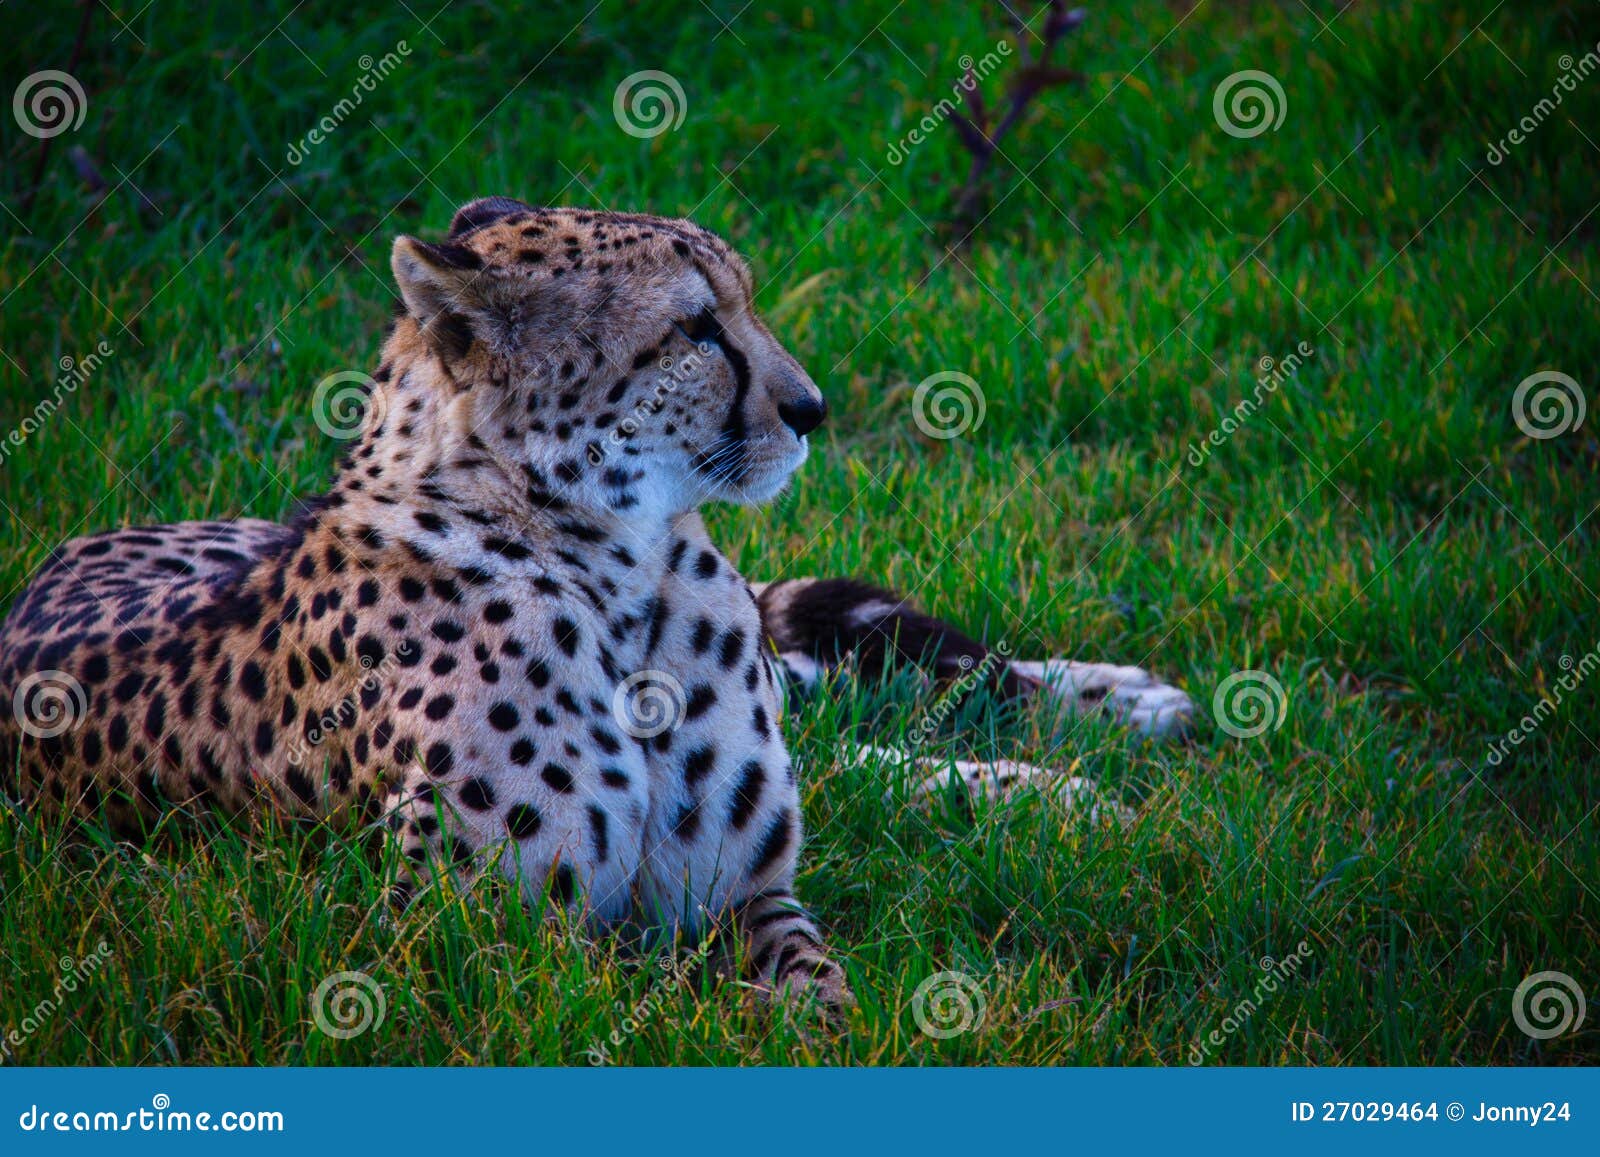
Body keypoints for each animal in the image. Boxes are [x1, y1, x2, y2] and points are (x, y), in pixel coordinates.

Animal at [0, 196, 1192, 1015]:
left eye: (743, 305)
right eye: (696, 328)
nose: (813, 407)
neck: (620, 564)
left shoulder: (747, 891)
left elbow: (817, 976)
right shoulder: (478, 953)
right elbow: (653, 1007)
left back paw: (1114, 723)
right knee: (860, 760)